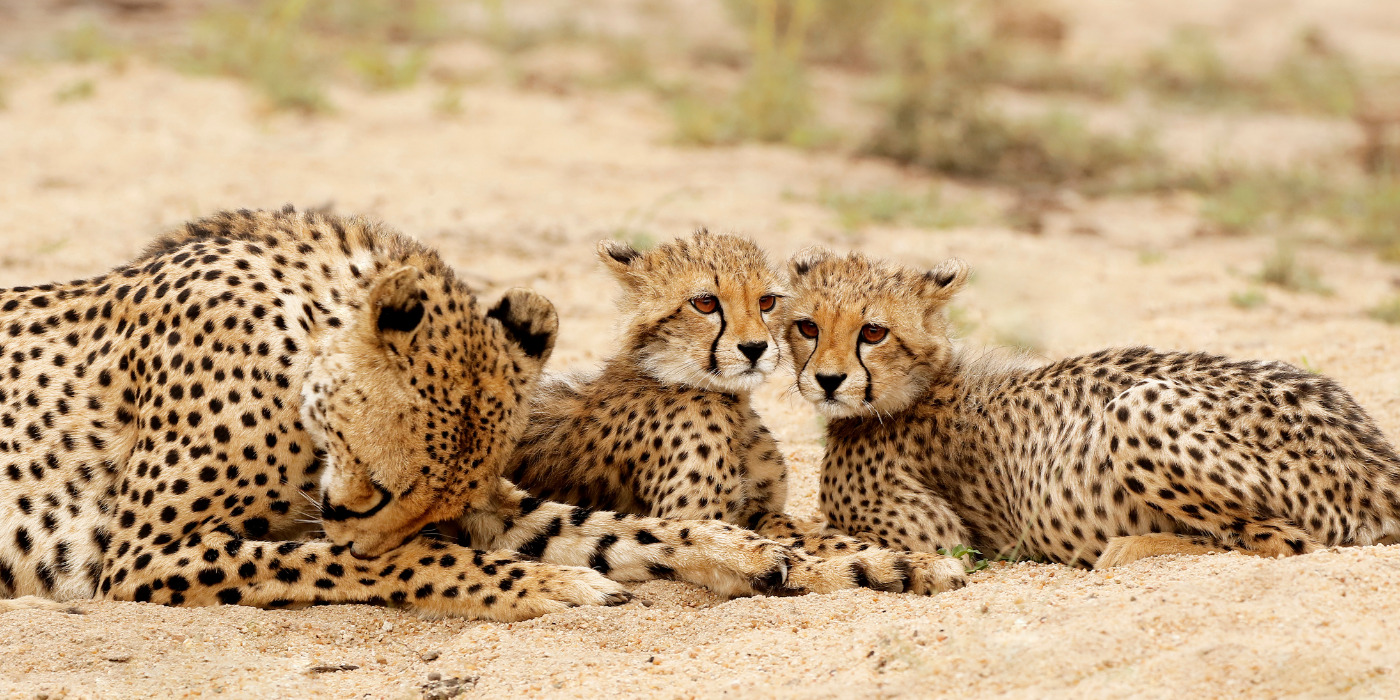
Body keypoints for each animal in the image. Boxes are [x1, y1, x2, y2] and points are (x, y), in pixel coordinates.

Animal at [0, 206, 812, 621]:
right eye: (386, 486)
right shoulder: (142, 553)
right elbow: (393, 560)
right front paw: (552, 585)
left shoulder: (494, 502)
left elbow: (617, 529)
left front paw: (748, 551)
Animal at [506, 230, 967, 595]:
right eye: (705, 303)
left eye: (767, 301)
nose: (755, 348)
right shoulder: (692, 520)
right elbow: (789, 552)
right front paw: (903, 566)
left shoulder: (760, 511)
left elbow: (809, 534)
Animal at [782, 246, 1400, 569]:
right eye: (807, 326)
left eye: (874, 332)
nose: (829, 381)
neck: (916, 388)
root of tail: (1375, 452)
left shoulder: (934, 537)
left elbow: (800, 529)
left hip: (1138, 404)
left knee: (1283, 541)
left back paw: (1126, 549)